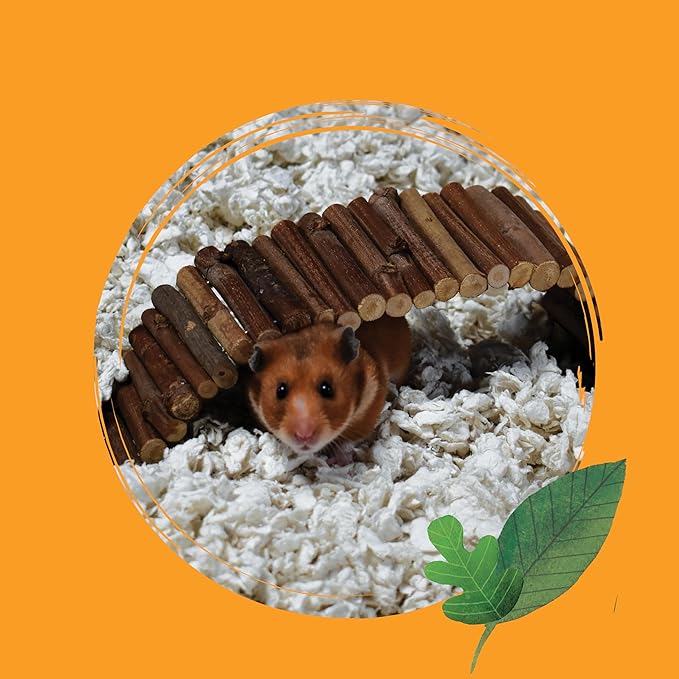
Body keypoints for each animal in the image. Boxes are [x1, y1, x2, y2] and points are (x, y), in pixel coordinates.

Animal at [247, 315, 410, 465]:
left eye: (327, 389)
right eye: (280, 391)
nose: (304, 435)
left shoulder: (370, 407)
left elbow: (348, 441)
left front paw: (336, 462)